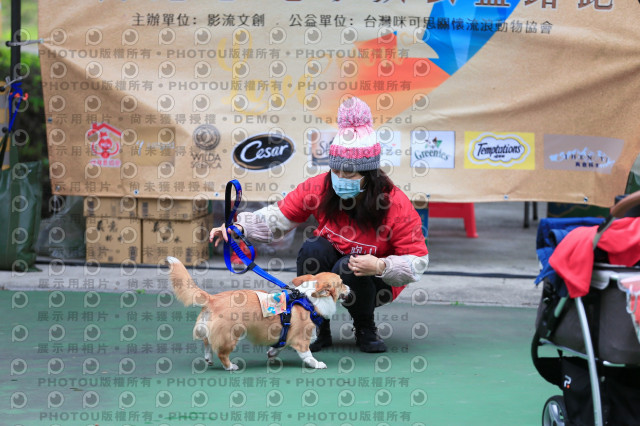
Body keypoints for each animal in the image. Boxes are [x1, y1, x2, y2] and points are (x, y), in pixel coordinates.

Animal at [166, 256, 350, 370]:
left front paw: (271, 353)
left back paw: (208, 359)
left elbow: (278, 346)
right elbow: (308, 355)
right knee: (221, 352)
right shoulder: (301, 341)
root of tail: (212, 298)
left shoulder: (284, 337)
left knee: (207, 342)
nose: (350, 287)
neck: (309, 301)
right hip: (232, 335)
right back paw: (230, 366)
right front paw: (317, 364)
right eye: (341, 283)